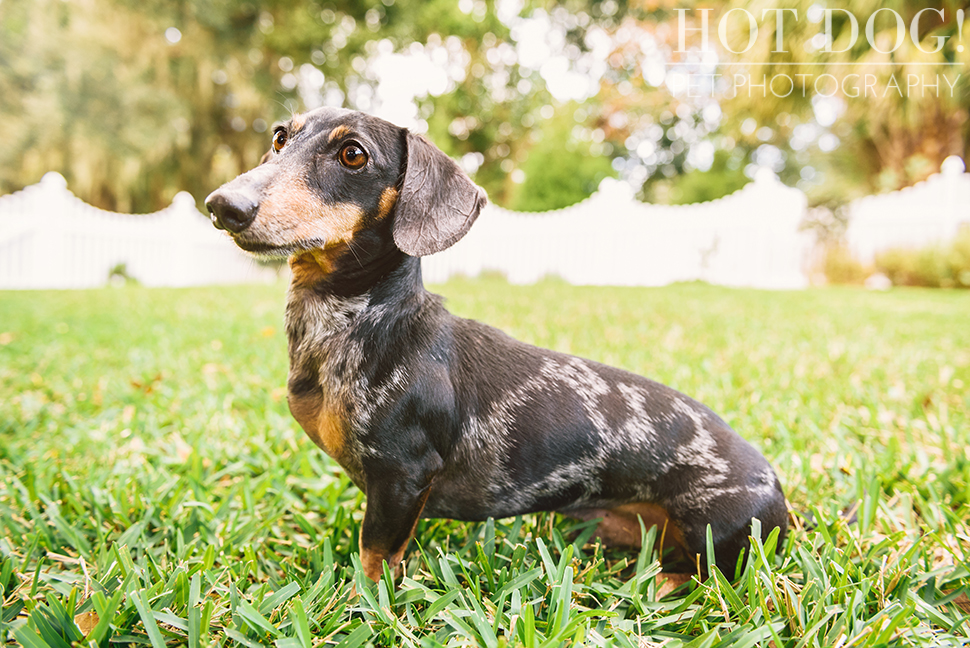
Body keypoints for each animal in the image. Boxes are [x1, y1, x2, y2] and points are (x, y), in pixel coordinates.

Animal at [204, 106, 788, 584]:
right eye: (280, 137)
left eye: (353, 154)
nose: (222, 205)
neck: (369, 321)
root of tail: (775, 483)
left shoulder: (402, 475)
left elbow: (375, 557)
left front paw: (363, 605)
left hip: (711, 539)